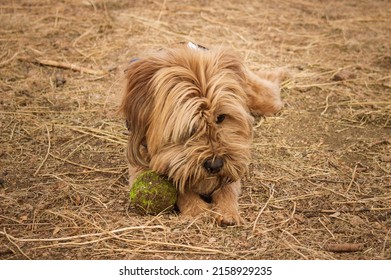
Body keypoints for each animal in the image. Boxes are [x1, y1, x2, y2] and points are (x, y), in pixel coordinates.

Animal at [120, 42, 284, 226]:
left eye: (221, 117)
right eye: (189, 128)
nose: (215, 165)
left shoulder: (235, 152)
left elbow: (229, 183)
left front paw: (227, 210)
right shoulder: (140, 163)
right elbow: (179, 182)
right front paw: (197, 209)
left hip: (262, 97)